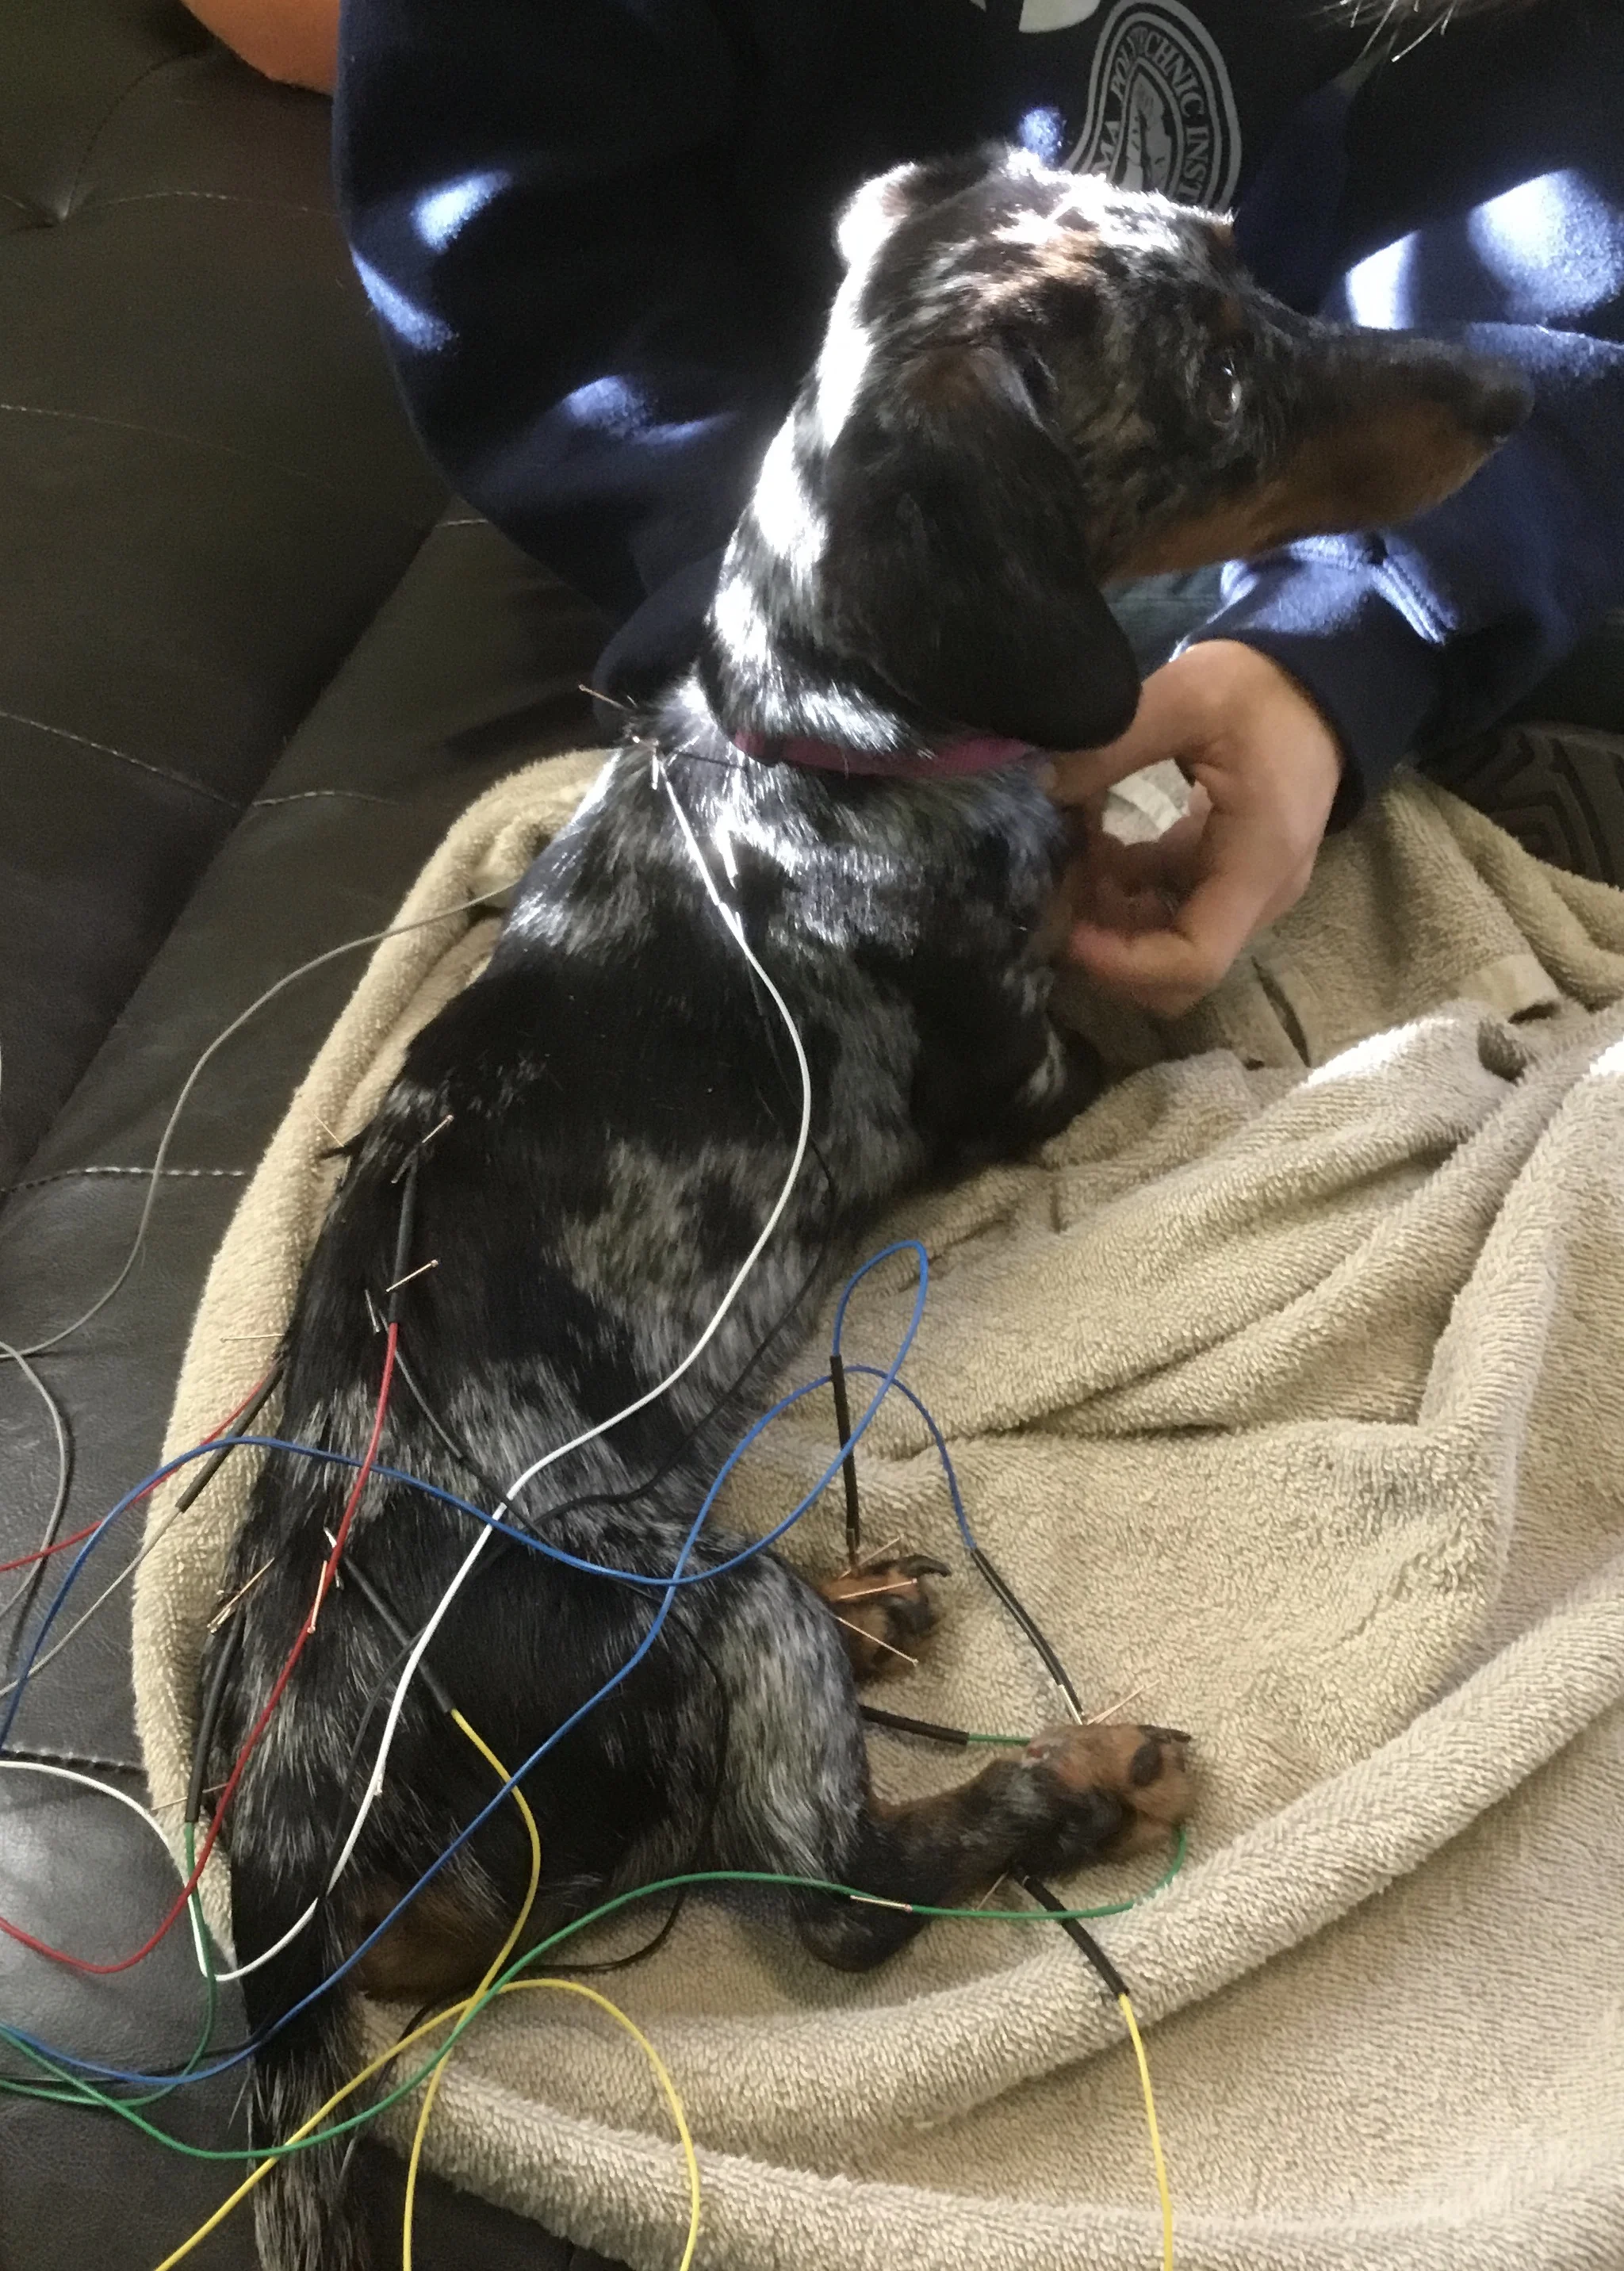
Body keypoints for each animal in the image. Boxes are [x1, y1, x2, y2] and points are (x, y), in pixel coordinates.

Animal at [200, 145, 1528, 2270]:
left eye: (1247, 275)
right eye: (1224, 385)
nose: (1514, 393)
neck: (827, 738)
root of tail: (289, 1856)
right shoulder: (1033, 1077)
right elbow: (1175, 1000)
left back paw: (876, 1596)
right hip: (692, 1640)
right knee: (830, 1893)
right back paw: (1066, 1791)